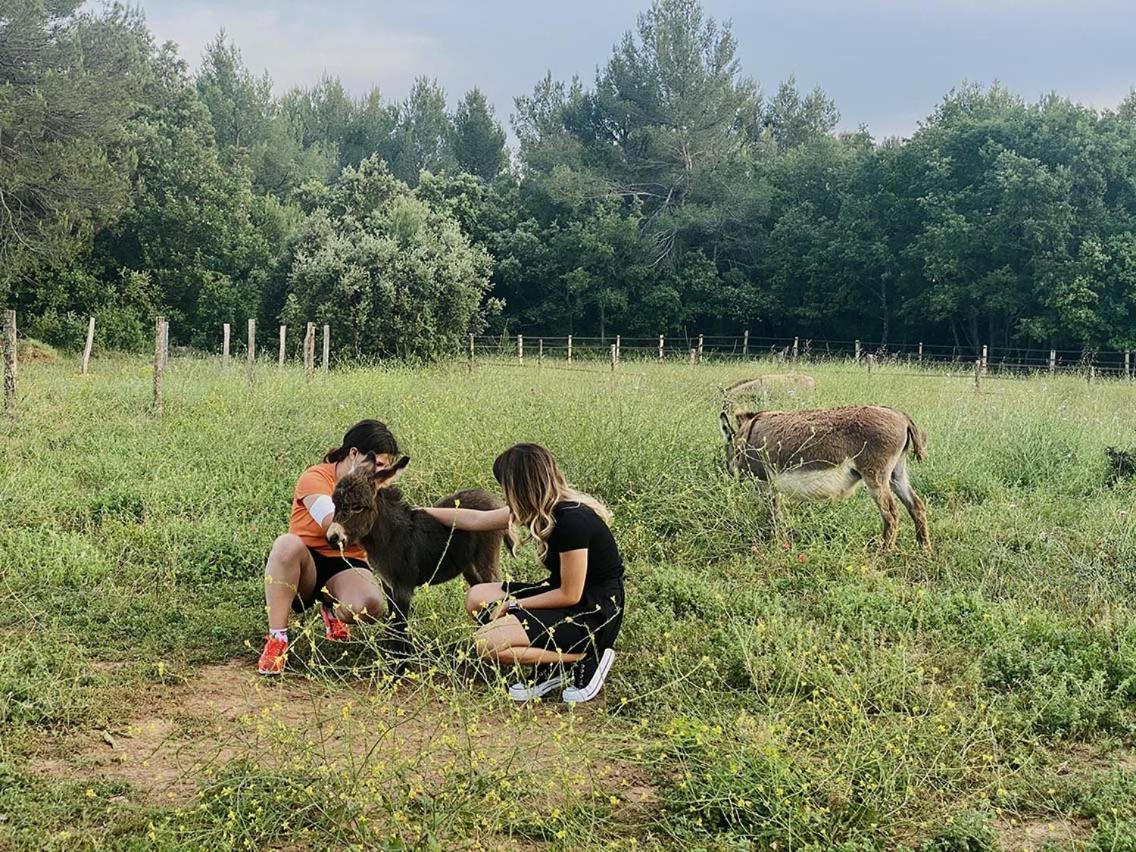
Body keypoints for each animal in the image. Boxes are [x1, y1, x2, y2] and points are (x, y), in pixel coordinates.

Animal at [327, 454, 508, 658]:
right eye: (335, 503)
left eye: (358, 507)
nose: (332, 538)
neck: (390, 537)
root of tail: (494, 500)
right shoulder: (387, 585)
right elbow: (393, 622)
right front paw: (393, 655)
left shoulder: (403, 587)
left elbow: (400, 626)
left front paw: (401, 660)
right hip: (469, 567)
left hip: (486, 561)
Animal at [722, 406, 926, 554]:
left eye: (726, 447)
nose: (729, 472)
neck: (747, 434)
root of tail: (901, 415)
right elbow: (777, 515)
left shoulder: (765, 484)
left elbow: (774, 515)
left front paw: (776, 544)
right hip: (896, 475)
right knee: (916, 506)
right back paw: (924, 550)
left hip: (875, 478)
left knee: (891, 514)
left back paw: (884, 553)